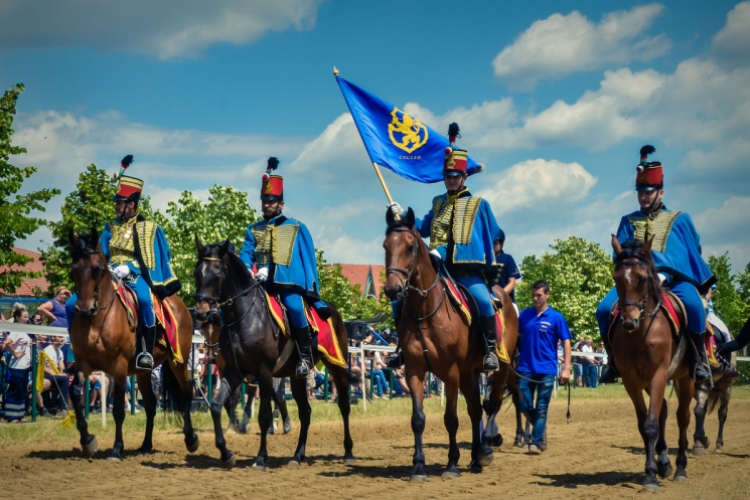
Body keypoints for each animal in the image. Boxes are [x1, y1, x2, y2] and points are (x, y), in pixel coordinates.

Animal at [68, 230, 200, 460]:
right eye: (74, 268)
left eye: (98, 269)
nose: (84, 310)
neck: (98, 319)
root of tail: (180, 305)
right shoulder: (83, 362)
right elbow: (75, 393)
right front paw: (87, 441)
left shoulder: (119, 367)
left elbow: (119, 410)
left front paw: (116, 449)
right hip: (143, 372)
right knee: (151, 404)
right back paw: (146, 445)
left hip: (179, 363)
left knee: (186, 393)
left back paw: (191, 439)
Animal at [194, 238, 358, 468]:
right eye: (196, 272)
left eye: (217, 272)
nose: (201, 312)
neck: (244, 318)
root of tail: (332, 309)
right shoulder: (234, 371)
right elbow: (217, 406)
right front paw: (226, 454)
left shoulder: (264, 372)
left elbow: (263, 416)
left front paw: (261, 458)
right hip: (297, 376)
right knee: (305, 412)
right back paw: (297, 456)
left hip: (337, 365)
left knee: (344, 404)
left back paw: (348, 451)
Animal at [384, 208, 520, 480]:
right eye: (385, 246)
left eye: (410, 247)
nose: (393, 289)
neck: (425, 310)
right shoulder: (415, 369)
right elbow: (418, 419)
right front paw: (418, 466)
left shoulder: (450, 372)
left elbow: (451, 418)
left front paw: (451, 464)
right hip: (470, 372)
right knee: (476, 410)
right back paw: (476, 459)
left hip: (499, 366)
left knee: (491, 404)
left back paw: (485, 450)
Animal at [612, 237, 696, 492]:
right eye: (616, 278)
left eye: (643, 278)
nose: (629, 321)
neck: (640, 334)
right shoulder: (631, 381)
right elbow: (645, 424)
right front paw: (653, 469)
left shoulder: (659, 374)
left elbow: (651, 424)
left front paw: (650, 477)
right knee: (665, 411)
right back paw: (665, 463)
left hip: (686, 378)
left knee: (683, 417)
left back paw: (680, 468)